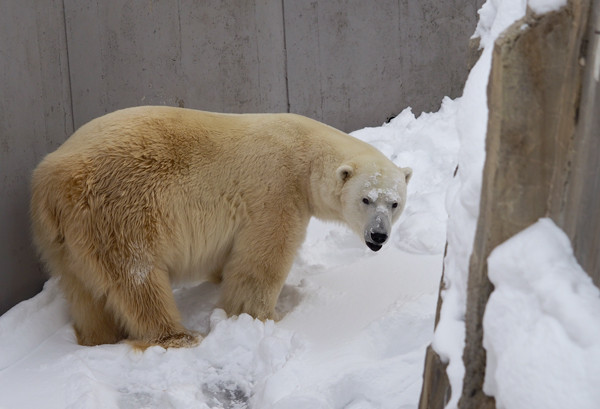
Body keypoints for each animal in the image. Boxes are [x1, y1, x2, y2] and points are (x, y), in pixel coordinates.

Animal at [29, 106, 412, 348]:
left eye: (394, 204)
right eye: (366, 199)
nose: (378, 236)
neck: (305, 151)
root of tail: (50, 181)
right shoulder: (276, 191)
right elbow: (262, 260)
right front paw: (260, 317)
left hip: (64, 238)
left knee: (83, 290)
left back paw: (97, 338)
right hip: (118, 211)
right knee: (137, 278)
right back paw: (178, 336)